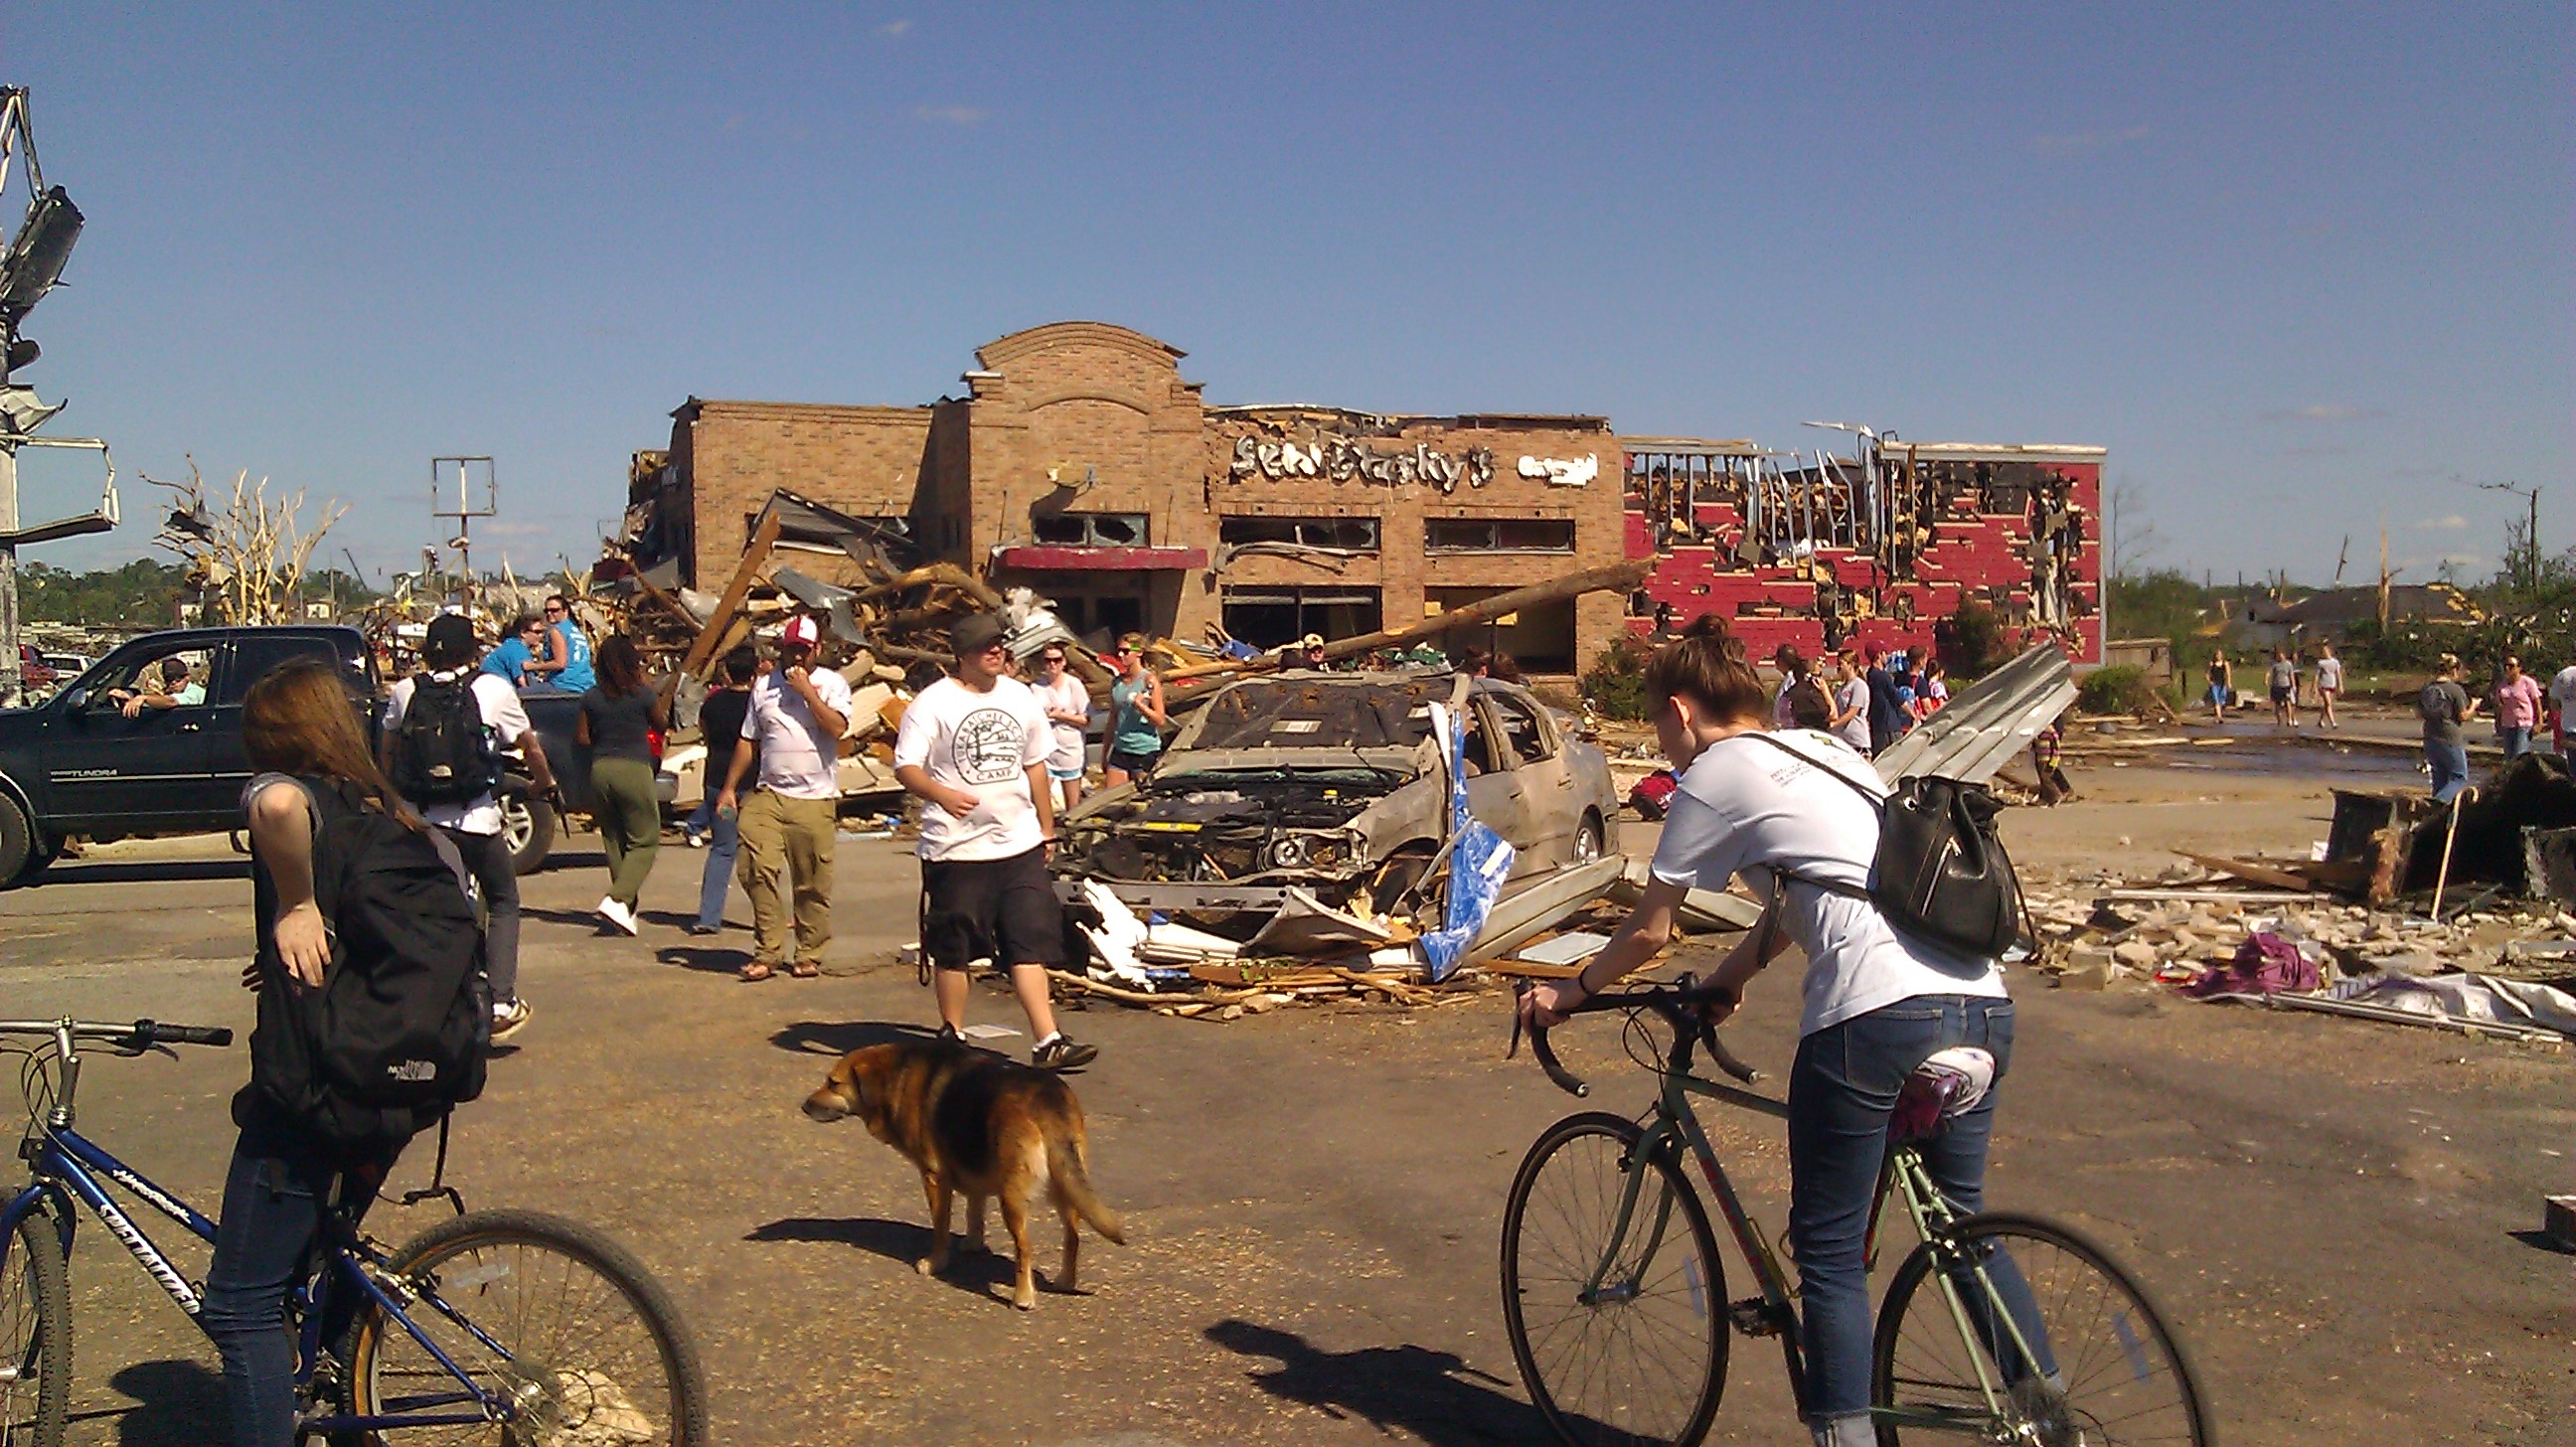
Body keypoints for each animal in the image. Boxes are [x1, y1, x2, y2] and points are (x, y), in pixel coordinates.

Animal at [803, 1039, 1124, 1310]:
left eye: (833, 1083)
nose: (804, 1106)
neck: (899, 1075)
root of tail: (1045, 1099)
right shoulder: (975, 1173)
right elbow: (975, 1211)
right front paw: (972, 1244)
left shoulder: (934, 1178)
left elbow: (941, 1227)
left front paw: (935, 1263)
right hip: (1066, 1183)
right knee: (1072, 1235)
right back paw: (1065, 1281)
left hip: (1013, 1198)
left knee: (1025, 1248)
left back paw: (1023, 1297)